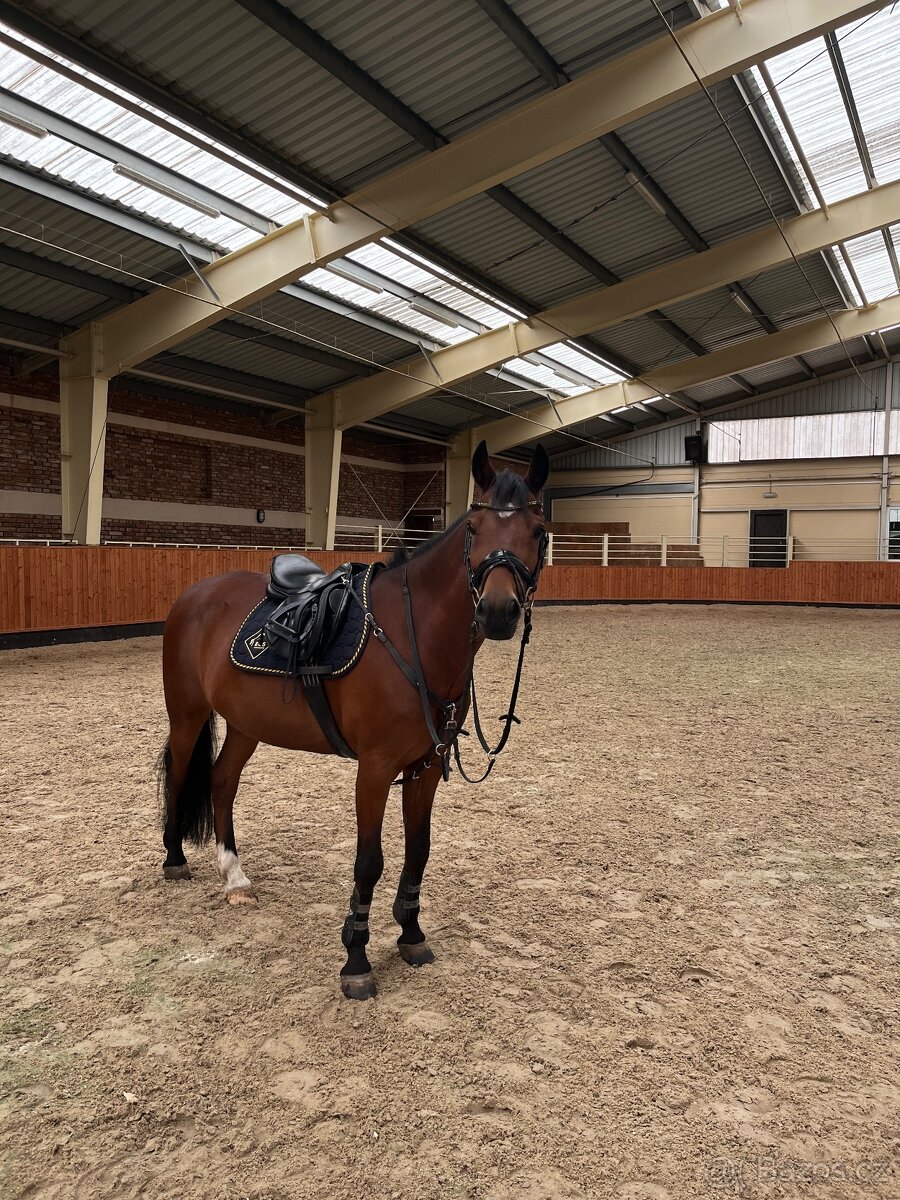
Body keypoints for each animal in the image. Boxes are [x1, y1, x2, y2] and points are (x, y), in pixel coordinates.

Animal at [157, 440, 549, 999]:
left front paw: (411, 934)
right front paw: (356, 960)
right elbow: (370, 861)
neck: (411, 635)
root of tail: (195, 595)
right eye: (474, 528)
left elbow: (418, 851)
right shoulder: (376, 768)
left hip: (245, 726)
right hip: (188, 713)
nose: (497, 611)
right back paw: (174, 859)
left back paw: (234, 875)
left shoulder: (425, 768)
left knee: (221, 781)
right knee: (179, 772)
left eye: (537, 531)